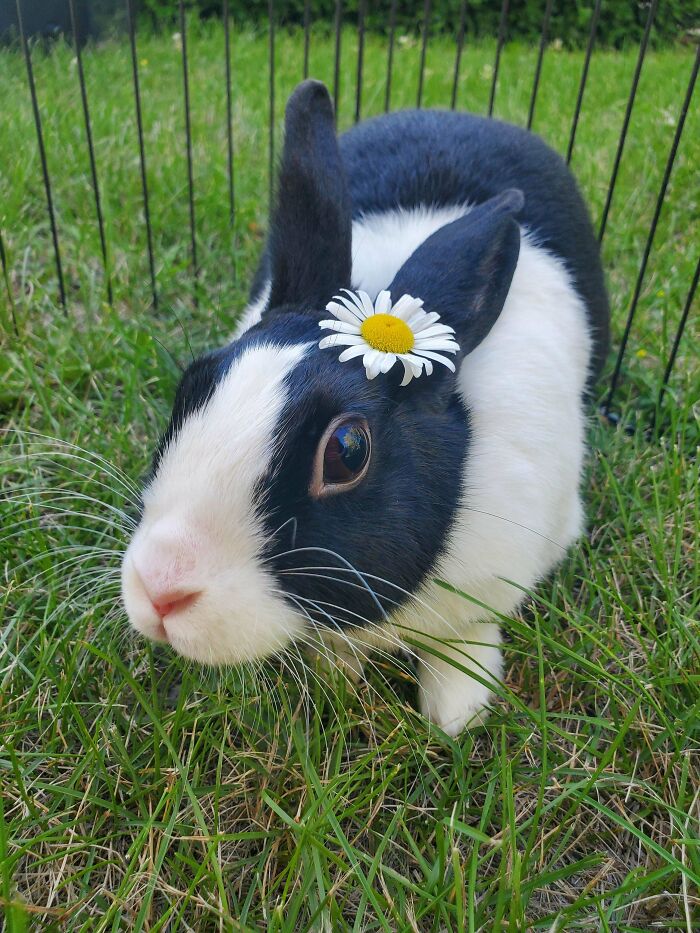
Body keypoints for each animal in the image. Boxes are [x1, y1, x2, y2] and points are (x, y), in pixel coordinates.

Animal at [121, 80, 609, 736]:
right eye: (194, 386)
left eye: (347, 453)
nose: (160, 590)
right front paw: (337, 678)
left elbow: (467, 637)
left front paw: (457, 713)